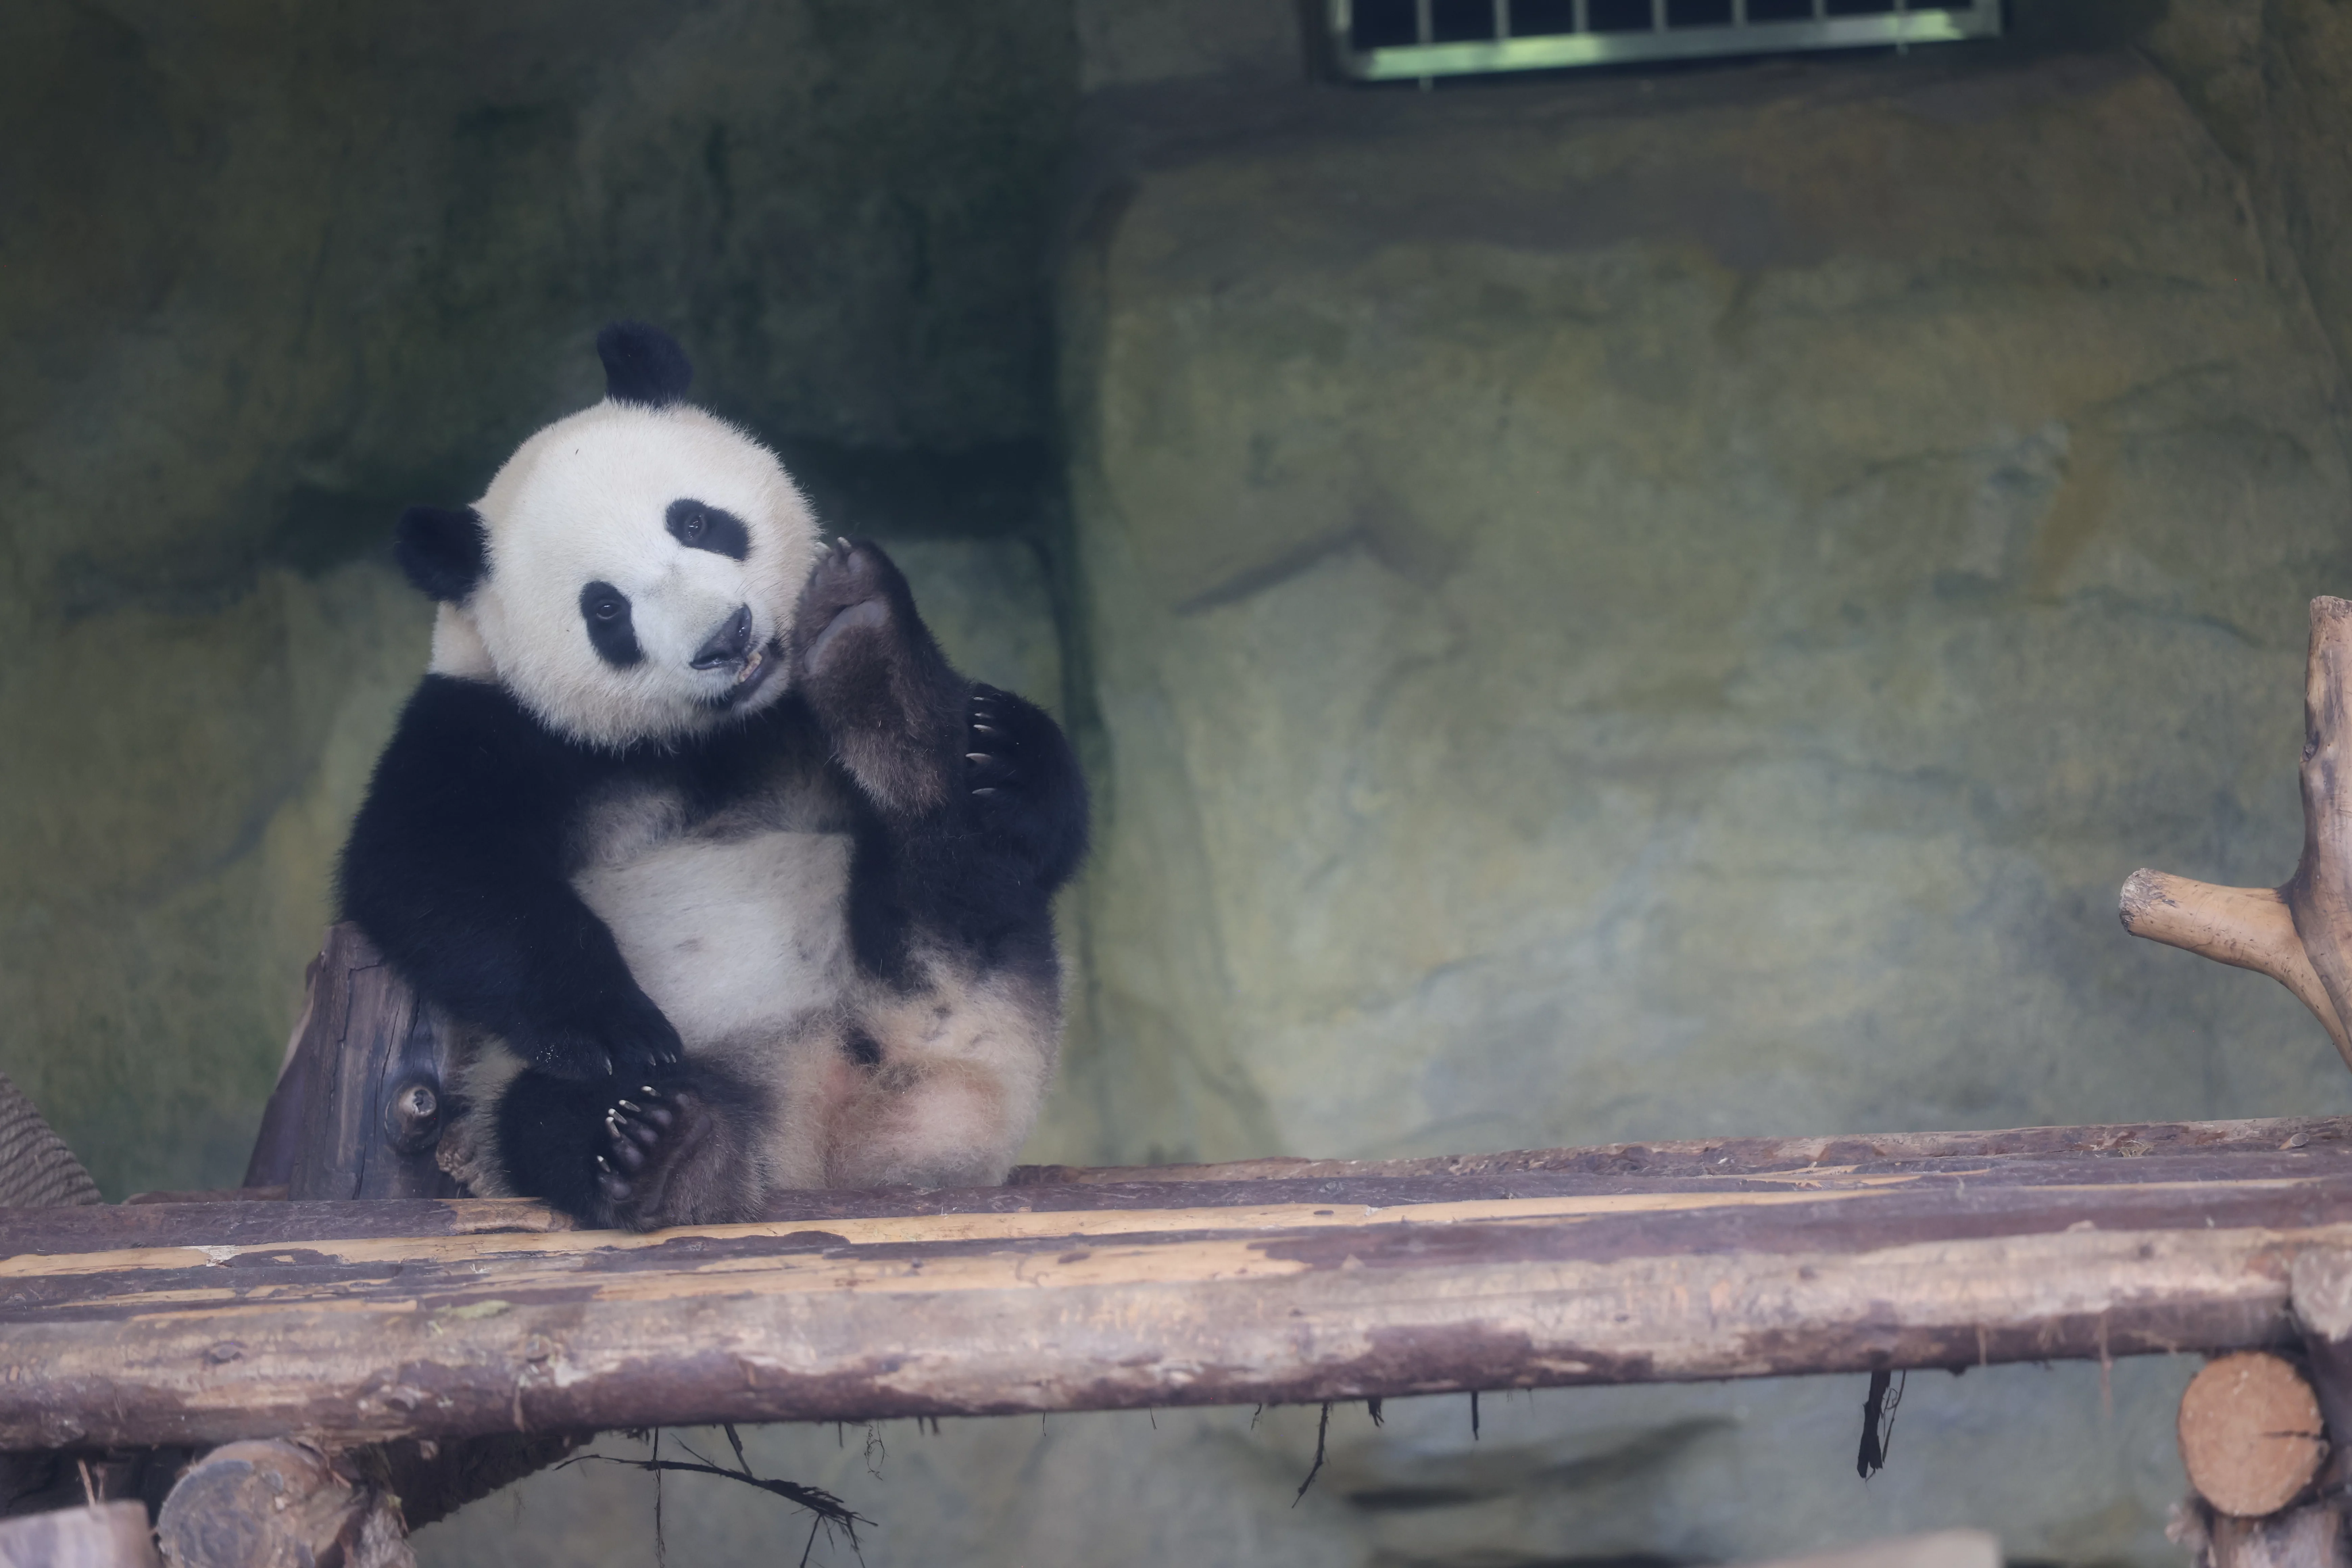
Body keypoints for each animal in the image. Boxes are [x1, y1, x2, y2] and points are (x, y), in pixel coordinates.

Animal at [339, 322, 1087, 1230]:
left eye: (696, 520)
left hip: (990, 1001)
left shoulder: (790, 714)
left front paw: (1011, 756)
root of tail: (829, 1142)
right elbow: (426, 869)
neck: (711, 732)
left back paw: (874, 662)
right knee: (550, 1115)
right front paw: (613, 1023)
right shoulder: (489, 725)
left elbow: (1046, 836)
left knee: (963, 881)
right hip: (530, 1089)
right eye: (606, 609)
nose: (725, 636)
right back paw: (665, 1151)